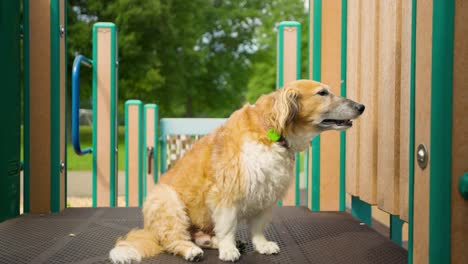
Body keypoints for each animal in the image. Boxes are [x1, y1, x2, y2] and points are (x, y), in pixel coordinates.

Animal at [110, 79, 366, 262]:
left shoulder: (266, 194)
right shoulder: (225, 195)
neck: (272, 132)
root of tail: (148, 230)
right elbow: (228, 226)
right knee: (172, 239)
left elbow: (258, 227)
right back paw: (191, 250)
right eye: (322, 93)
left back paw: (212, 242)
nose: (361, 106)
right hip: (167, 200)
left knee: (198, 237)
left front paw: (260, 245)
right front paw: (228, 249)